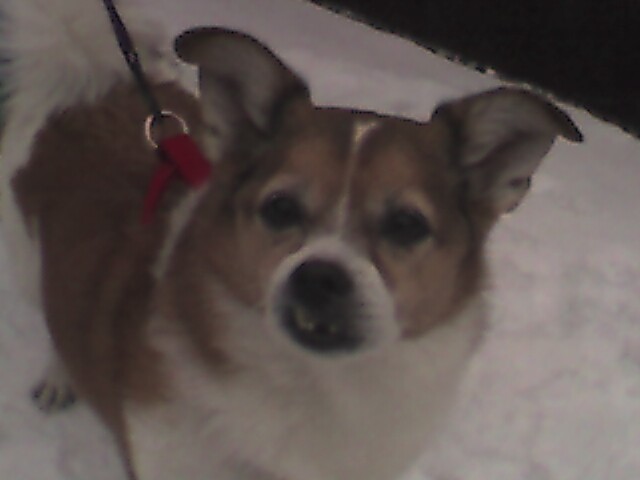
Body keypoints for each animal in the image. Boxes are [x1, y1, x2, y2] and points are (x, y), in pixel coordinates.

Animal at [0, 0, 584, 480]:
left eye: (406, 224)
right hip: (28, 260)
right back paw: (59, 375)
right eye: (280, 208)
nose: (320, 278)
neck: (316, 387)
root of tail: (95, 86)